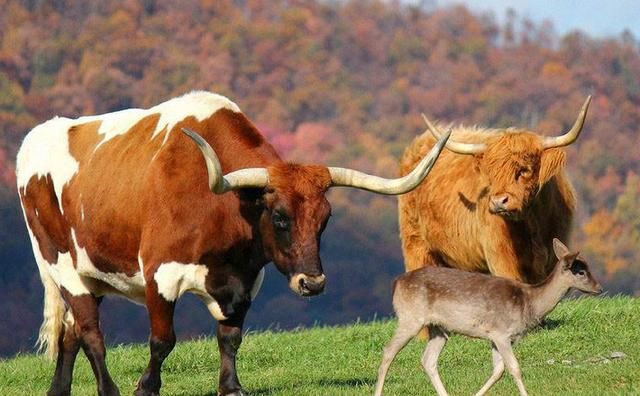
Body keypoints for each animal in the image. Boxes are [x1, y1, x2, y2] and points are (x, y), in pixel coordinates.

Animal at [16, 91, 450, 394]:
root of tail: (38, 136)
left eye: (325, 219)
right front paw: (146, 386)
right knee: (91, 333)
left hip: (91, 273)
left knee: (70, 331)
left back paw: (58, 390)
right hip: (60, 264)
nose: (312, 283)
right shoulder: (160, 272)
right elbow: (162, 340)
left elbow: (231, 336)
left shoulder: (245, 280)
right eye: (280, 217)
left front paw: (231, 386)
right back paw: (110, 390)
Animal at [400, 97, 592, 284]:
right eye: (491, 173)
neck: (533, 222)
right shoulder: (501, 259)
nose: (499, 202)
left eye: (524, 169)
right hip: (416, 247)